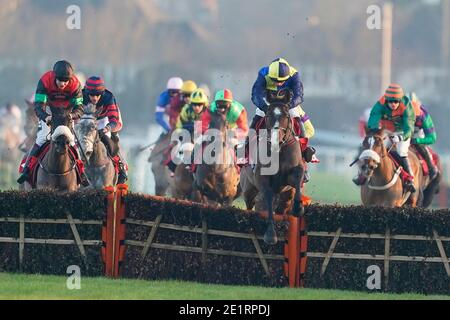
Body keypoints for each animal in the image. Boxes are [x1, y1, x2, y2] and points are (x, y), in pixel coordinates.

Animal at [250, 102, 306, 245]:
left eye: (286, 116)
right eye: (268, 115)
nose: (276, 140)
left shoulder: (290, 176)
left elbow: (298, 176)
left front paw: (298, 208)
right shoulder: (262, 178)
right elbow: (268, 197)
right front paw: (270, 234)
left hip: (286, 195)